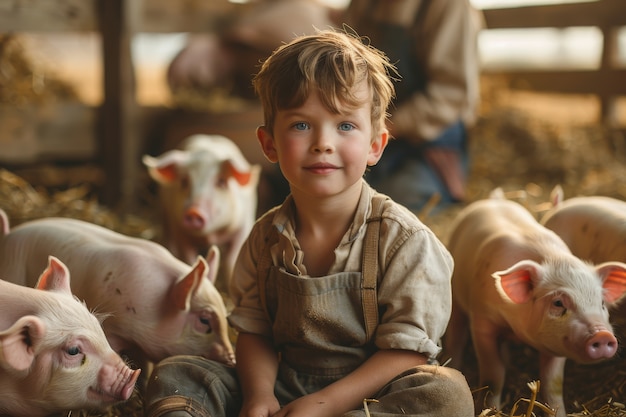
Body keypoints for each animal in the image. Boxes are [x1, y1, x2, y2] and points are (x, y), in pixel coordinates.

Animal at [143, 133, 260, 290]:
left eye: (221, 182)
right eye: (184, 181)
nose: (194, 211)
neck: (210, 236)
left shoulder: (244, 226)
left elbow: (231, 259)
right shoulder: (179, 229)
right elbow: (189, 257)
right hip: (165, 215)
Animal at [442, 189, 624, 416]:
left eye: (601, 303)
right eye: (558, 303)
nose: (602, 334)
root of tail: (493, 200)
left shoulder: (557, 342)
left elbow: (553, 383)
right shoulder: (482, 322)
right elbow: (494, 376)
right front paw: (490, 408)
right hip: (455, 296)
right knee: (456, 335)